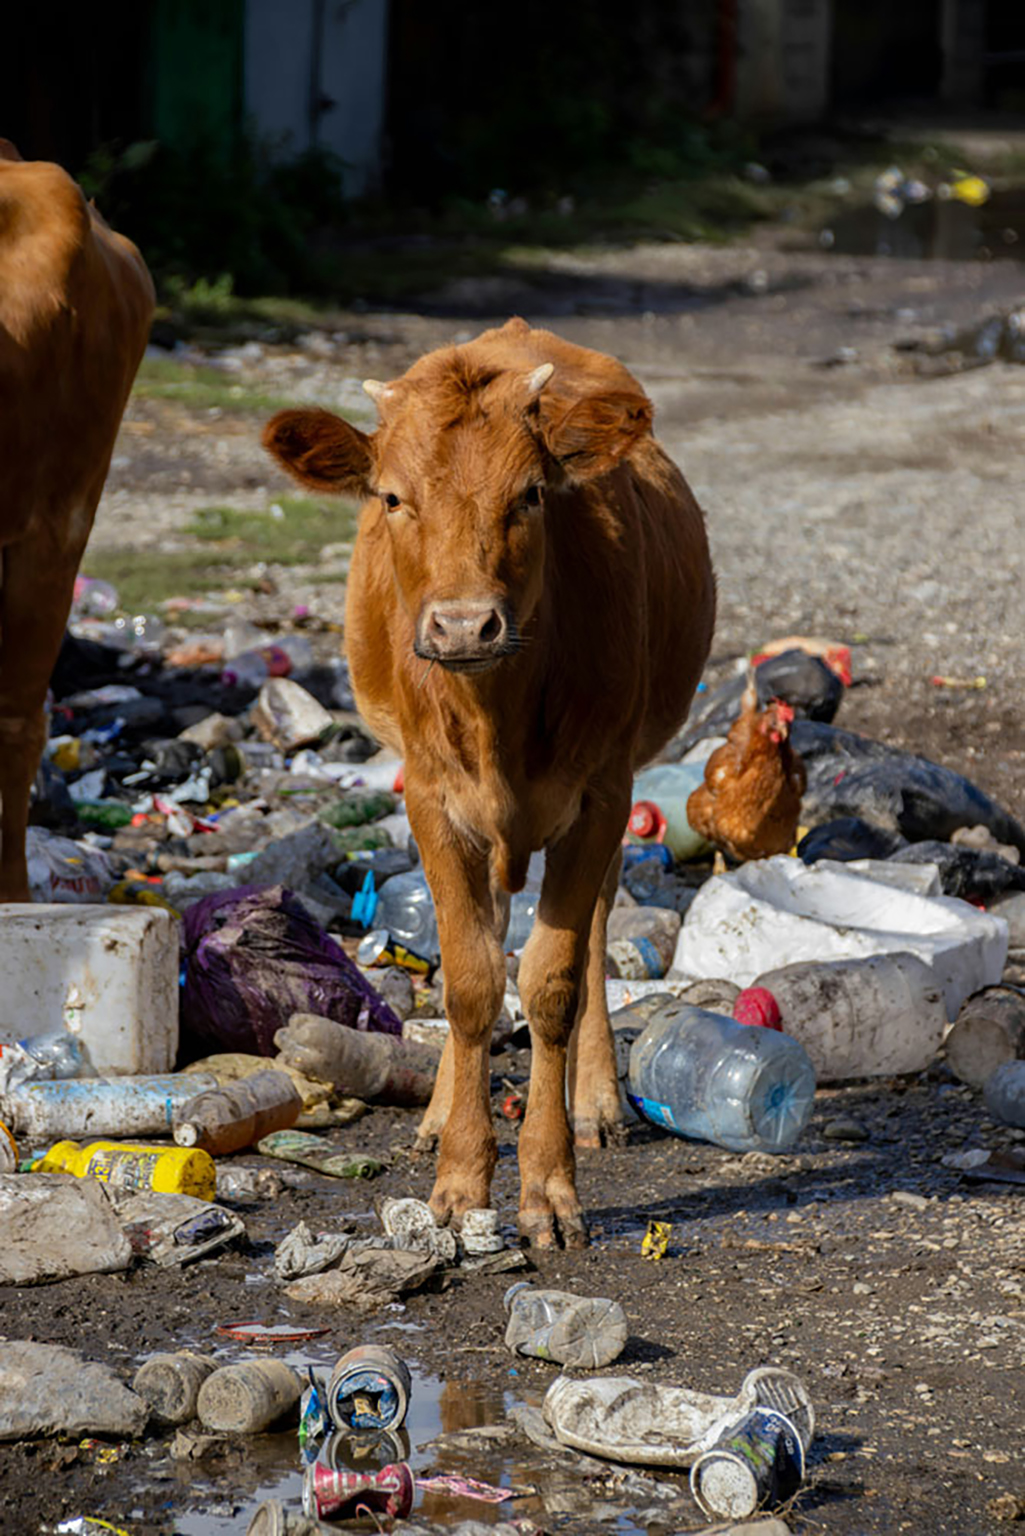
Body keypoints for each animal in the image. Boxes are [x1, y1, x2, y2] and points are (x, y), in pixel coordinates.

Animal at [264, 319, 715, 1247]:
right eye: (391, 498)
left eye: (532, 496)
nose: (464, 624)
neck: (494, 713)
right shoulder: (431, 798)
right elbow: (471, 981)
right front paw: (461, 1175)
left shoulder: (601, 793)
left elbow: (551, 982)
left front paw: (546, 1184)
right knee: (484, 933)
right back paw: (440, 1108)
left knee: (591, 927)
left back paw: (596, 1099)